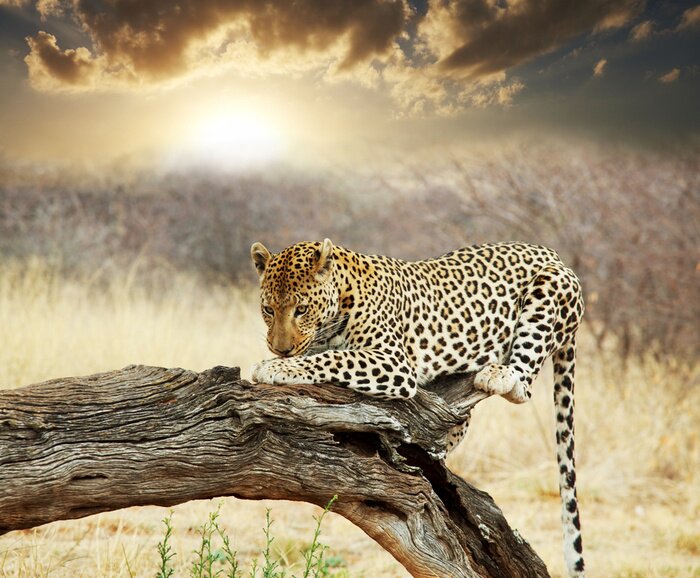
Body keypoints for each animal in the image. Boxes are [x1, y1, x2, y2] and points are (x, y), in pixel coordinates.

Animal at [250, 238, 585, 577]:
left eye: (301, 309)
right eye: (268, 310)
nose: (280, 349)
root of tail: (551, 252)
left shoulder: (392, 361)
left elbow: (333, 358)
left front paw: (275, 367)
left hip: (549, 288)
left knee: (523, 384)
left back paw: (499, 374)